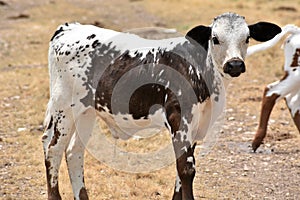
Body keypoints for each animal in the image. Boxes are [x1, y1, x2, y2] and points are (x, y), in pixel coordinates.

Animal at [42, 12, 282, 200]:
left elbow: (182, 167)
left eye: (247, 38)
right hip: (64, 107)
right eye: (215, 38)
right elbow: (186, 168)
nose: (235, 65)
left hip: (86, 112)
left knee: (74, 152)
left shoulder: (196, 126)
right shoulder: (179, 119)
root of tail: (69, 27)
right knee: (53, 148)